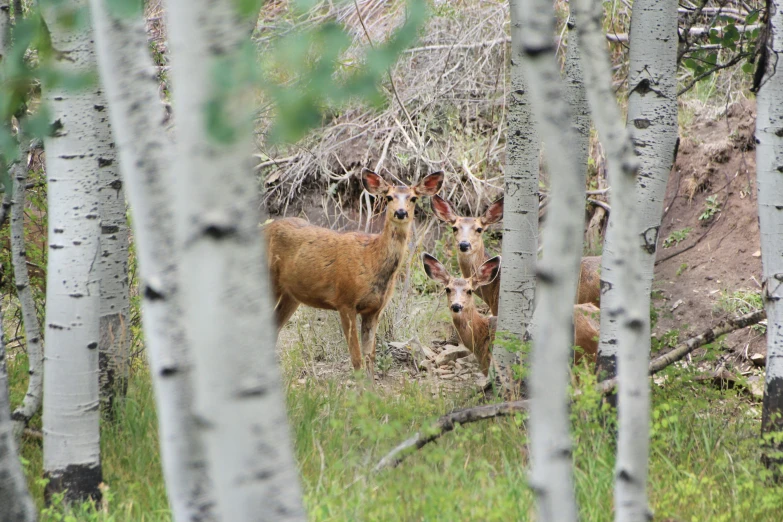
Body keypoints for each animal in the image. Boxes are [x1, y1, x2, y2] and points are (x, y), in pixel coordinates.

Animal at [264, 170, 444, 378]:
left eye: (413, 198)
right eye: (389, 197)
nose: (400, 212)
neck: (373, 260)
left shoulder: (375, 309)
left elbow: (370, 357)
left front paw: (371, 386)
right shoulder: (345, 300)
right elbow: (356, 359)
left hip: (292, 295)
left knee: (273, 327)